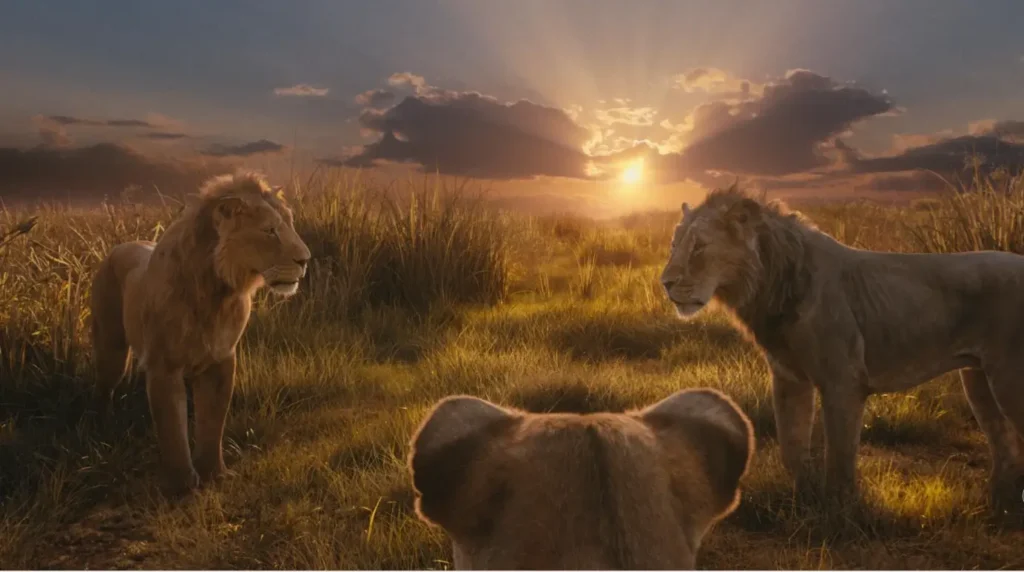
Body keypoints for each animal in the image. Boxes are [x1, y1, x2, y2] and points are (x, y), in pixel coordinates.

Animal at [89, 171, 311, 493]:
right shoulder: (164, 366)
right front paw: (181, 484)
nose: (305, 260)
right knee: (104, 388)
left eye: (290, 225)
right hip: (111, 348)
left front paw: (214, 474)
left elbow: (212, 423)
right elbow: (172, 428)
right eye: (270, 230)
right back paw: (102, 432)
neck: (216, 293)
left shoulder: (221, 360)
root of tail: (121, 246)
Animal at [661, 184, 1024, 513]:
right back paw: (999, 506)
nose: (665, 283)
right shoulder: (789, 378)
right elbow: (791, 446)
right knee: (1004, 444)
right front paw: (804, 503)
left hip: (1008, 379)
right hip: (978, 380)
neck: (771, 284)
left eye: (699, 247)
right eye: (674, 245)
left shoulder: (843, 381)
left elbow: (840, 454)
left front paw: (840, 511)